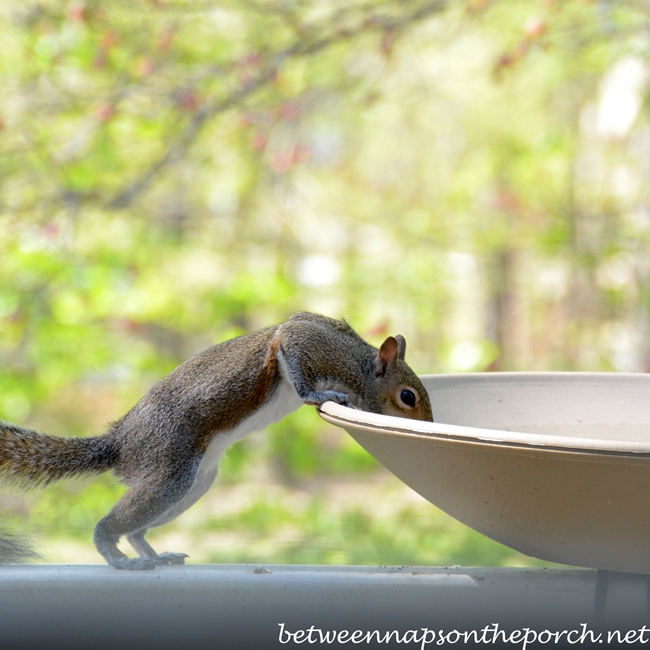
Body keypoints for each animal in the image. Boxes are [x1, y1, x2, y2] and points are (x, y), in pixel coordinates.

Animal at [1, 312, 436, 568]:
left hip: (196, 483)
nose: (432, 423)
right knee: (110, 526)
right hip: (171, 467)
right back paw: (119, 557)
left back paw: (155, 554)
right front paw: (318, 395)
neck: (359, 366)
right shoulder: (311, 346)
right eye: (408, 397)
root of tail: (120, 442)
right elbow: (293, 356)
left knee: (136, 530)